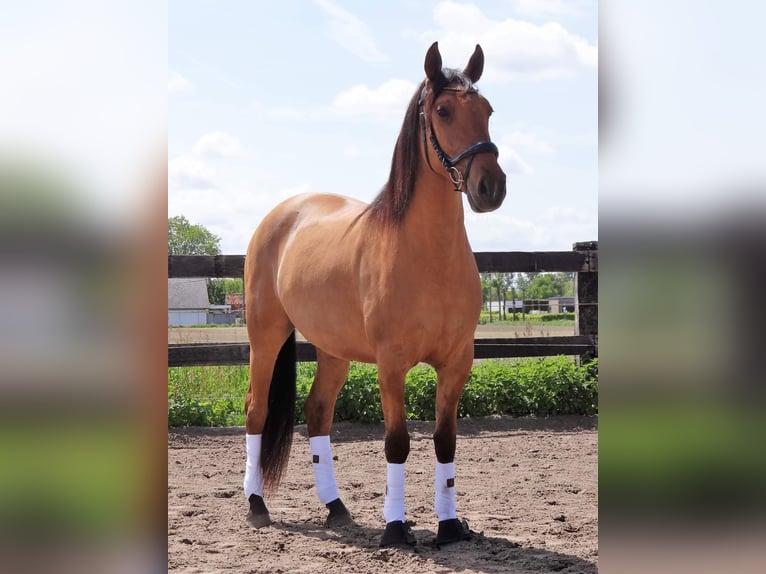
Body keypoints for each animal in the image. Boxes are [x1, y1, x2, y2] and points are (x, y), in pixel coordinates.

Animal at [243, 41, 508, 548]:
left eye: (487, 110)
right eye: (443, 111)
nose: (492, 187)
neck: (428, 256)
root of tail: (282, 214)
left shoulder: (457, 362)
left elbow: (445, 441)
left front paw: (449, 526)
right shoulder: (391, 363)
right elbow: (397, 443)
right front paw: (395, 528)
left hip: (333, 350)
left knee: (317, 413)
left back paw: (336, 508)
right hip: (265, 337)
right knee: (256, 411)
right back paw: (255, 505)